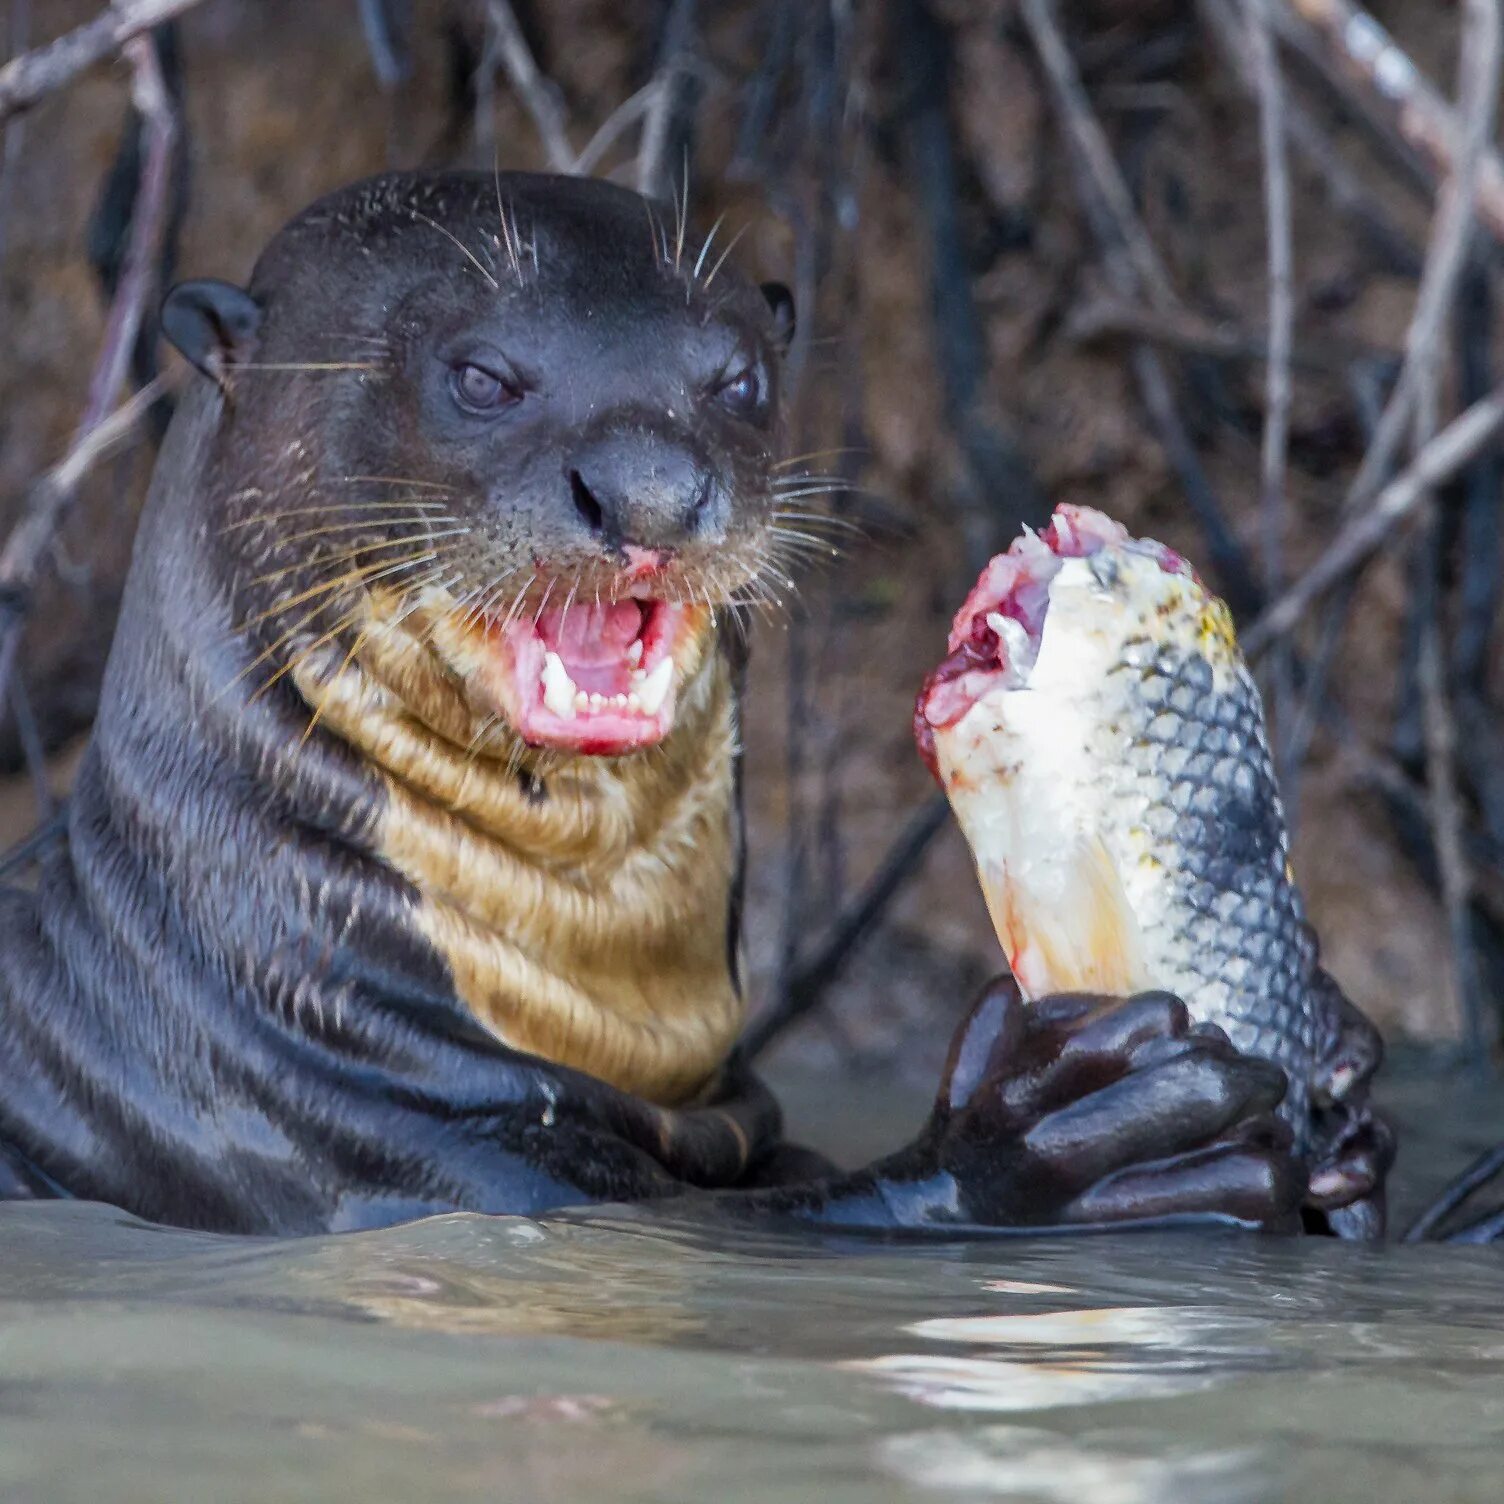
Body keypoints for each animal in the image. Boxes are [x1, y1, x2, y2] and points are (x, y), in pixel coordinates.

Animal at [0, 175, 1329, 1233]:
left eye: (734, 380)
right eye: (480, 375)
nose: (648, 490)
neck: (265, 959)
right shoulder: (373, 1148)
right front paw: (1049, 1144)